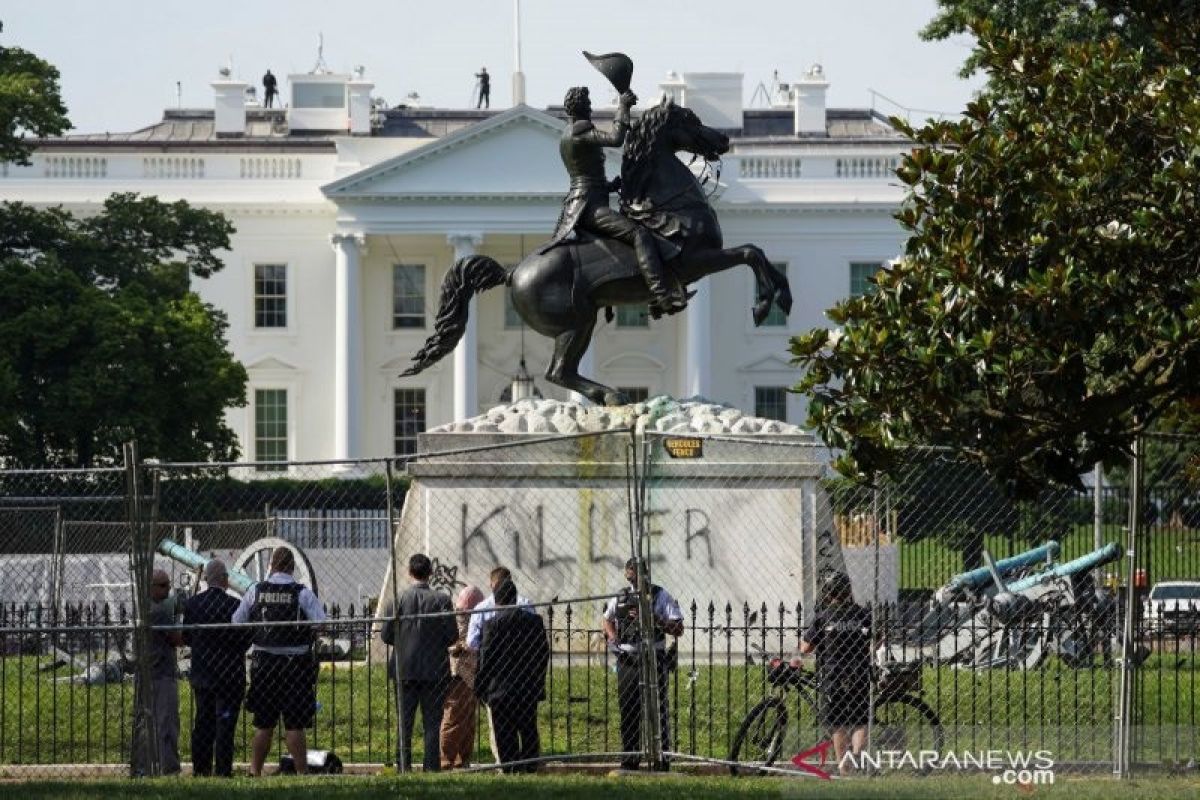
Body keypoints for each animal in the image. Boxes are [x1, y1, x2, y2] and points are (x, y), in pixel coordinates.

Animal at [408, 95, 792, 402]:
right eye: (691, 119)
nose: (724, 138)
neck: (671, 206)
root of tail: (513, 271)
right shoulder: (697, 261)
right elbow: (750, 252)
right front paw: (764, 304)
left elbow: (757, 253)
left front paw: (781, 298)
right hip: (576, 321)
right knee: (557, 372)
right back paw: (610, 395)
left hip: (581, 320)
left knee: (562, 371)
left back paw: (608, 395)